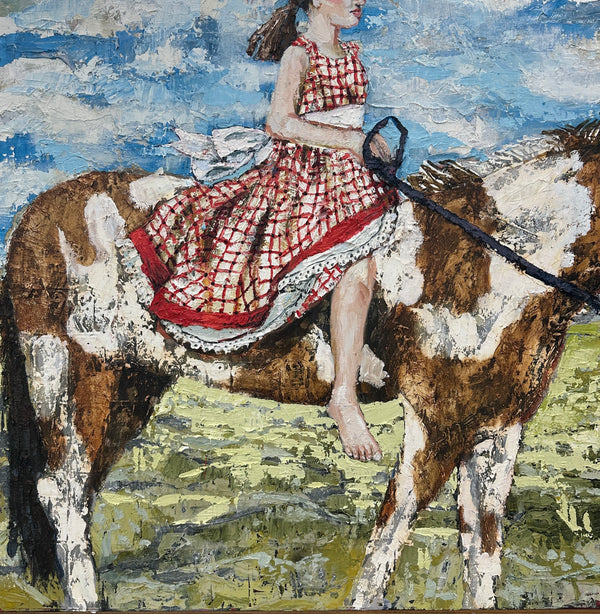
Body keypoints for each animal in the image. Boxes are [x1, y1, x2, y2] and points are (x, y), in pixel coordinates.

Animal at [0, 119, 599, 610]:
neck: (484, 261)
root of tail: (33, 214)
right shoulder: (438, 424)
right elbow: (393, 530)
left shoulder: (498, 428)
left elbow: (483, 541)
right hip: (72, 374)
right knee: (63, 491)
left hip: (132, 385)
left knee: (78, 491)